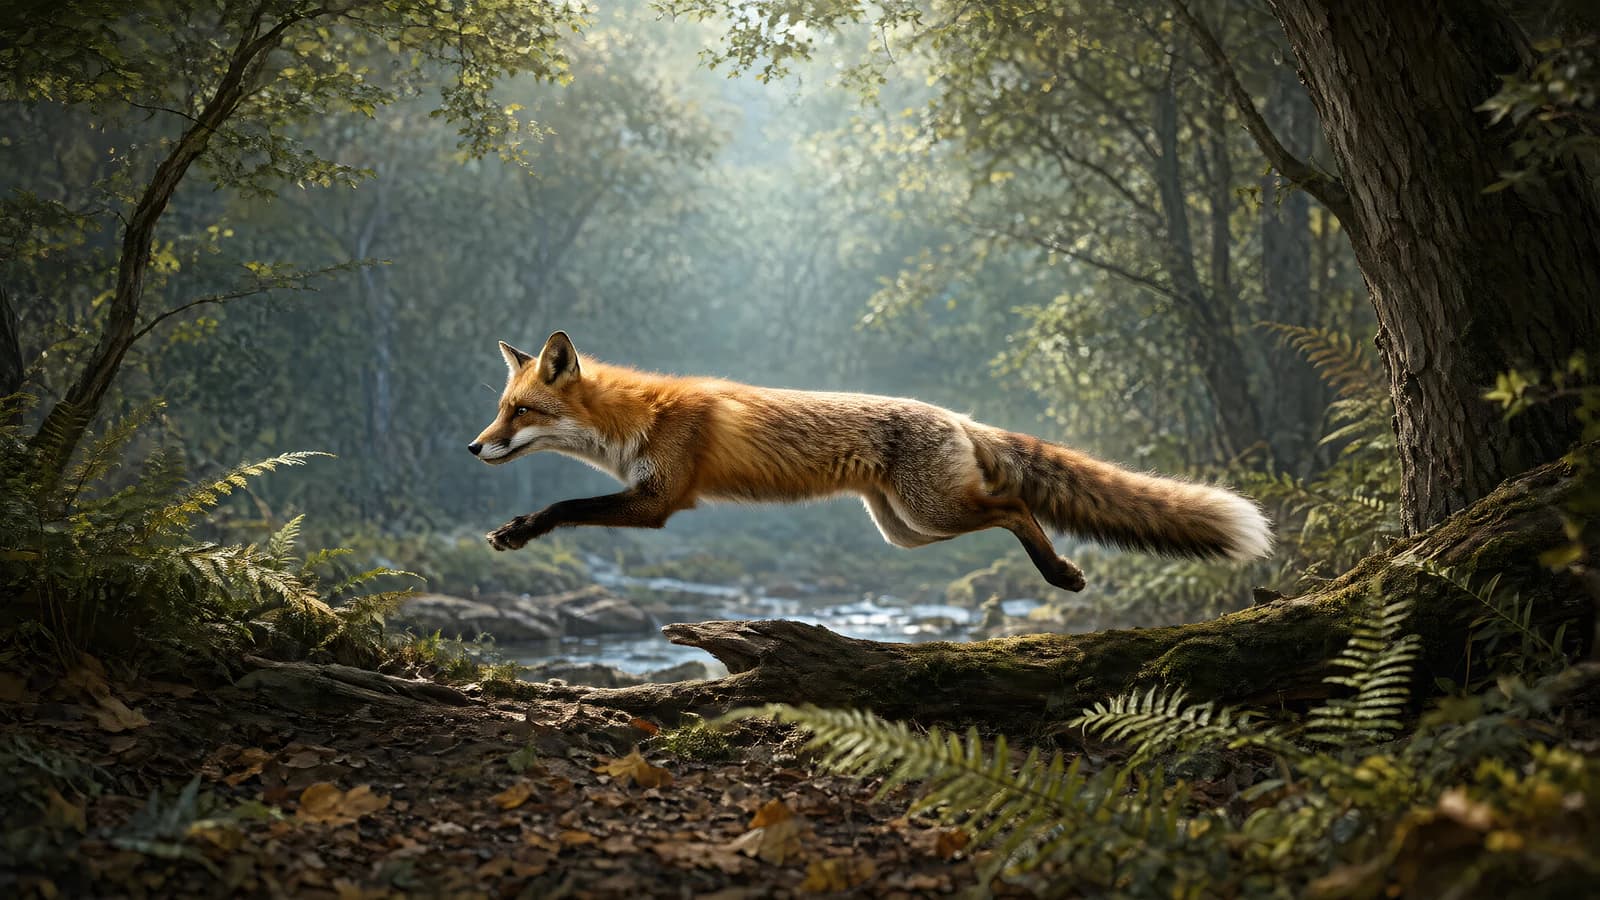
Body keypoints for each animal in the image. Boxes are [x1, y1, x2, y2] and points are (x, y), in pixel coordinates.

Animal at [469, 331, 1272, 592]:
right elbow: (568, 505)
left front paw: (518, 529)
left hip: (929, 511)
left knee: (1016, 506)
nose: (474, 447)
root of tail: (957, 416)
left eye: (520, 412)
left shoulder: (659, 501)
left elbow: (565, 507)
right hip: (905, 530)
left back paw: (1060, 574)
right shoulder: (647, 496)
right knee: (1006, 511)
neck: (640, 415)